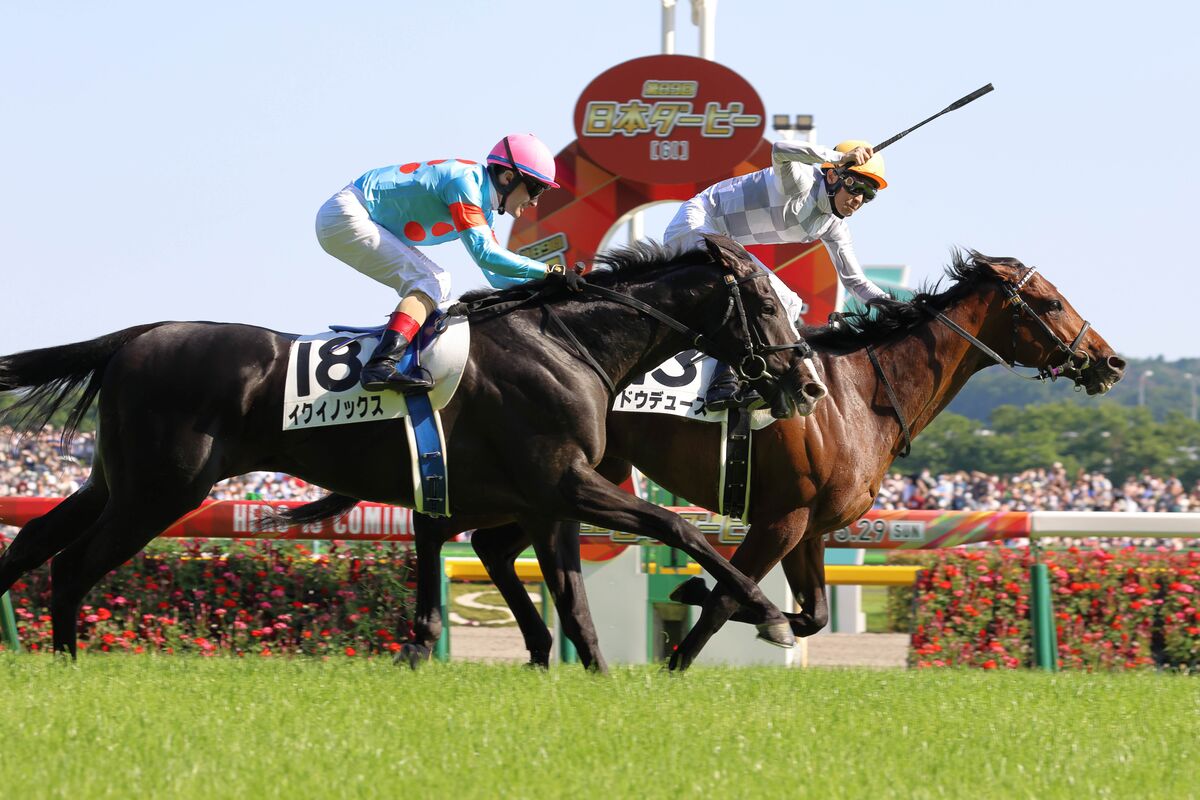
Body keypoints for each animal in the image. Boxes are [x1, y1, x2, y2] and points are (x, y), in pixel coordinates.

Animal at [0, 235, 829, 659]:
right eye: (765, 302)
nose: (808, 381)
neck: (566, 344)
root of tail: (133, 339)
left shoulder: (535, 501)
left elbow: (567, 603)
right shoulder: (562, 484)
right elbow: (678, 527)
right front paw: (764, 611)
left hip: (116, 482)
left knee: (35, 543)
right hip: (162, 491)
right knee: (71, 564)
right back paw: (65, 659)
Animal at [338, 250, 1122, 670]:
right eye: (1051, 302)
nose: (1110, 360)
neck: (858, 395)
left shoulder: (810, 527)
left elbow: (812, 613)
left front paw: (699, 598)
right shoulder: (780, 517)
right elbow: (726, 599)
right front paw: (683, 643)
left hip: (559, 481)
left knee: (488, 543)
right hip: (556, 476)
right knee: (453, 530)